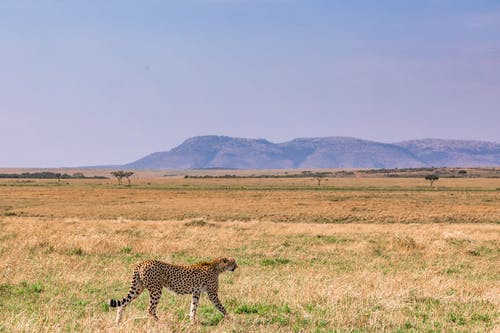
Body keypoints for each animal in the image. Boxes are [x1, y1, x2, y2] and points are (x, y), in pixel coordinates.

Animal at [108, 256, 237, 322]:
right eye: (233, 262)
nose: (237, 266)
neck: (216, 267)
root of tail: (143, 262)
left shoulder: (196, 292)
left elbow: (193, 307)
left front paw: (192, 322)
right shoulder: (212, 294)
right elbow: (221, 307)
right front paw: (230, 319)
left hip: (138, 288)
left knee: (123, 304)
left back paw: (118, 321)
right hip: (156, 290)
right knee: (150, 309)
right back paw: (159, 322)